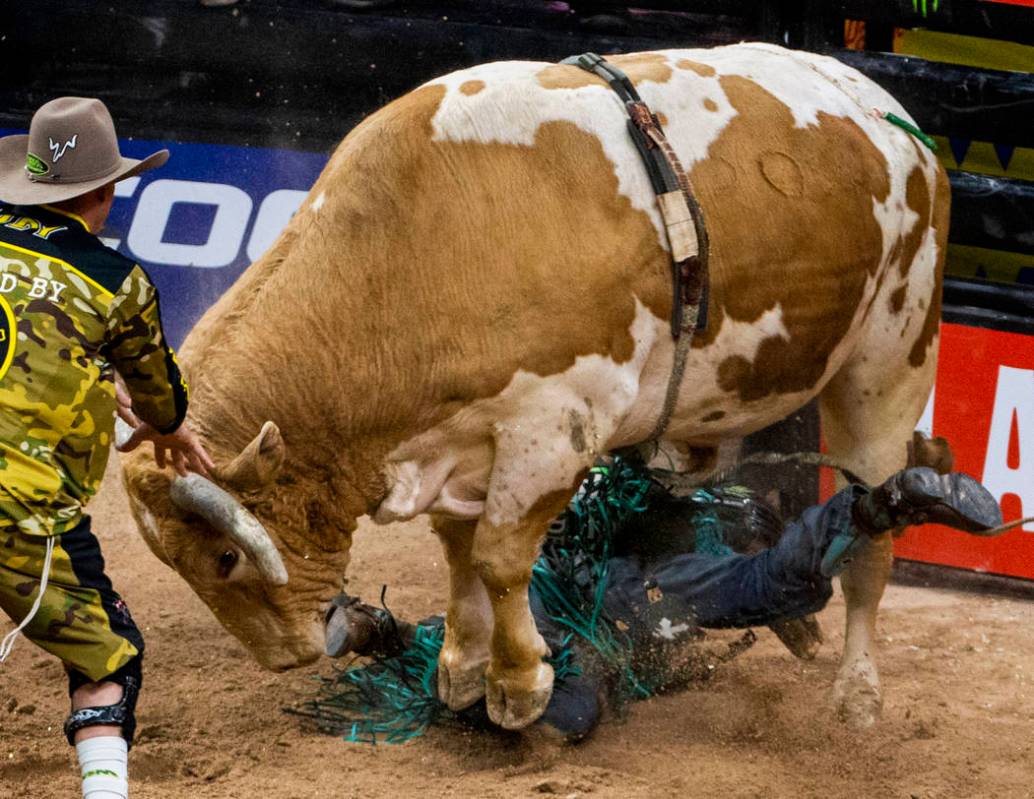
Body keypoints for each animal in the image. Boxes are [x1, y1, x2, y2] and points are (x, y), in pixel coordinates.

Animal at [118, 42, 947, 727]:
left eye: (225, 558)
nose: (287, 654)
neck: (412, 250)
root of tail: (900, 123)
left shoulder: (554, 427)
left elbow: (499, 556)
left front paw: (518, 683)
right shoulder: (453, 441)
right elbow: (459, 551)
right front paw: (460, 665)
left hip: (891, 360)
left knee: (870, 538)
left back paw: (858, 690)